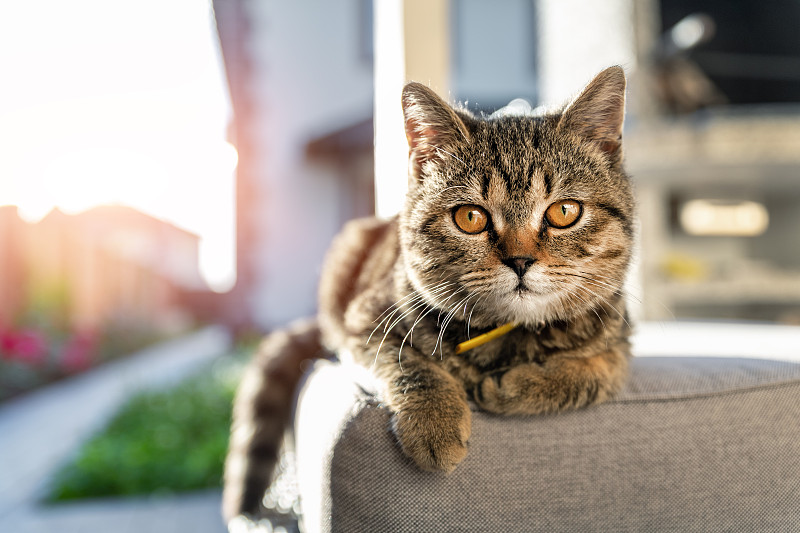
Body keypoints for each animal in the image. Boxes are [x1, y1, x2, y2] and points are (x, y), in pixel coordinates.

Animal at [222, 65, 636, 520]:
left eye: (564, 211)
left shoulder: (619, 339)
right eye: (470, 217)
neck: (508, 338)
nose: (520, 260)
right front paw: (435, 422)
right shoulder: (364, 324)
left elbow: (597, 371)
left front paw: (521, 384)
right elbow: (410, 364)